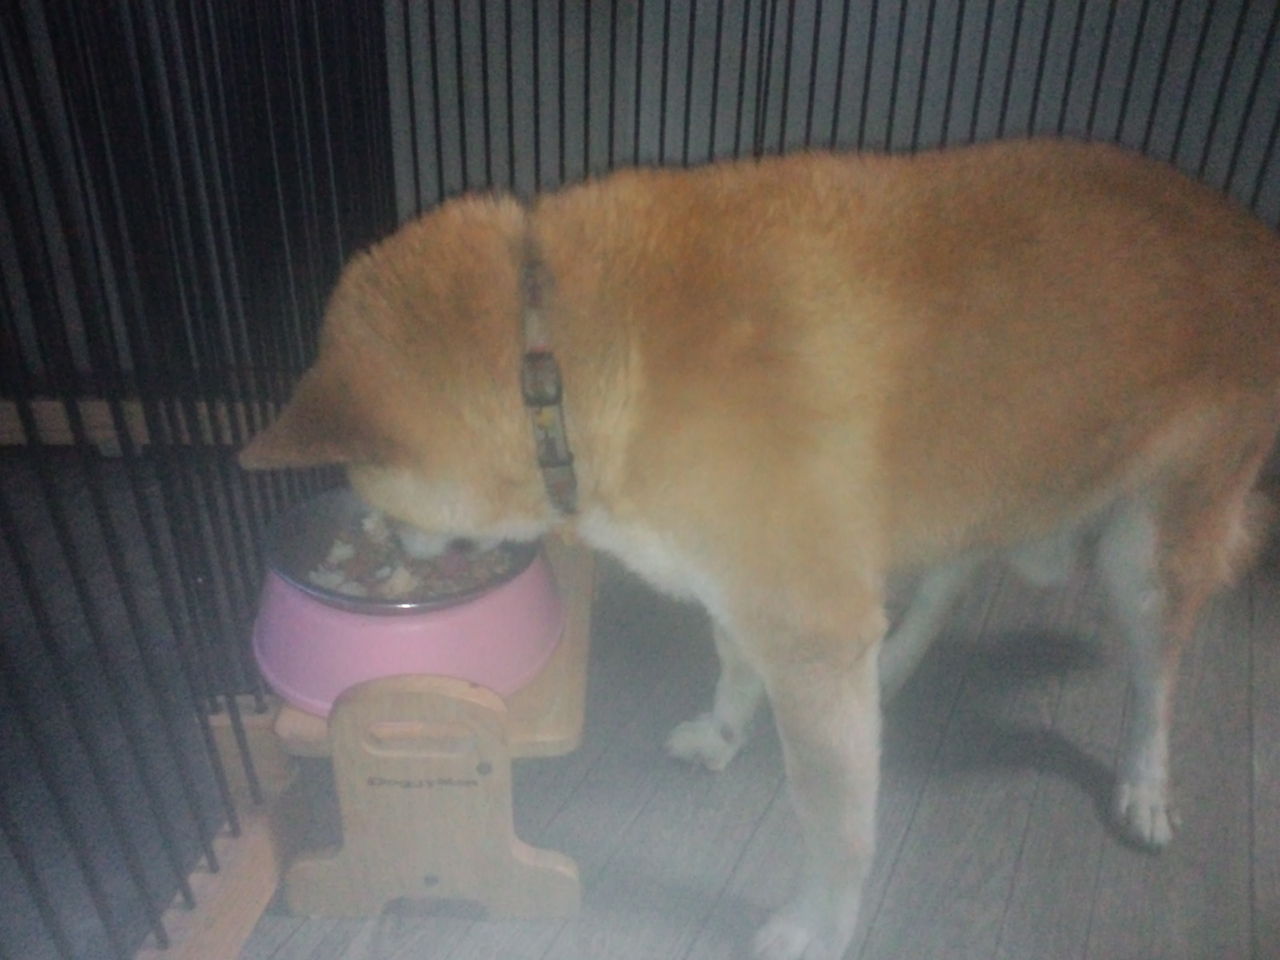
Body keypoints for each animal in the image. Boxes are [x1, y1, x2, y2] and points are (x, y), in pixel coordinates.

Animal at [240, 138, 1280, 960]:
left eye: (372, 494)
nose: (384, 541)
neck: (563, 370)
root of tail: (1248, 228)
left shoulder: (807, 627)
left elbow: (835, 823)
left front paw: (822, 925)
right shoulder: (745, 590)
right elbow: (736, 667)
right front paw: (725, 731)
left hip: (1148, 550)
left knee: (1155, 678)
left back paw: (1144, 787)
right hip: (983, 482)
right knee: (951, 576)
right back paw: (897, 668)